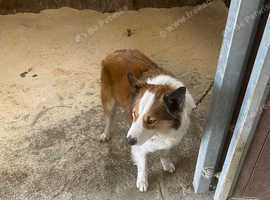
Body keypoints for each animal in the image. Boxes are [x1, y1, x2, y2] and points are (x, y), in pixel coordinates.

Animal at [99, 48, 194, 192]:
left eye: (151, 120)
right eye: (134, 114)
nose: (128, 141)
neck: (161, 131)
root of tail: (116, 52)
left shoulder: (171, 140)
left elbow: (165, 152)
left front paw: (166, 163)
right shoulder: (139, 146)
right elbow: (143, 165)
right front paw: (142, 181)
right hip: (109, 101)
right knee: (109, 118)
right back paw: (106, 134)